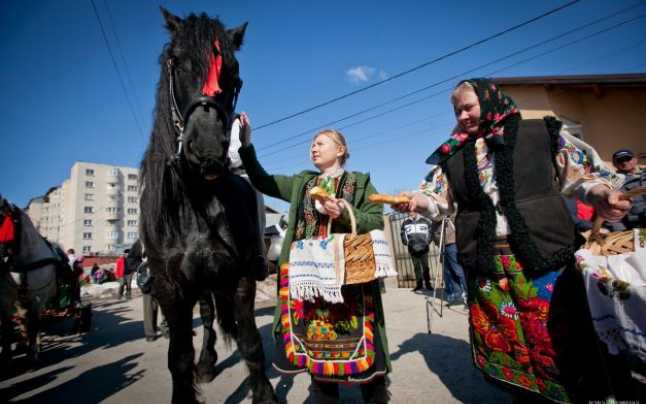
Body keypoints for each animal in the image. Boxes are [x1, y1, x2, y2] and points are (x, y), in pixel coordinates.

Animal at [141, 8, 276, 404]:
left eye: (233, 71)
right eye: (176, 61)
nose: (207, 149)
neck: (198, 204)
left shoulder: (242, 276)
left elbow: (250, 342)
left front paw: (264, 394)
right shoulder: (171, 288)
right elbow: (179, 357)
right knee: (206, 315)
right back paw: (206, 361)